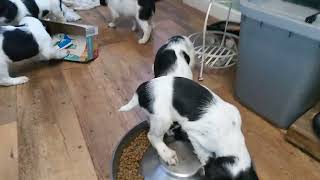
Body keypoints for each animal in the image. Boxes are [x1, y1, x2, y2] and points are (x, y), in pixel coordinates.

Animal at [119, 76, 258, 180]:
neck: (230, 136)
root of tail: (142, 88)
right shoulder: (195, 135)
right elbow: (203, 154)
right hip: (163, 118)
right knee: (152, 136)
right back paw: (167, 154)